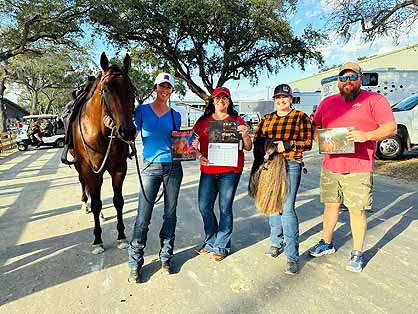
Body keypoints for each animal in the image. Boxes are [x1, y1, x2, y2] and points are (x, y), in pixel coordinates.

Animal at [70, 52, 136, 254]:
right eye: (105, 90)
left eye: (131, 89)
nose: (127, 131)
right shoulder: (90, 169)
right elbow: (97, 202)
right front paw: (97, 240)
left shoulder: (119, 168)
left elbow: (118, 201)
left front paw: (121, 236)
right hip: (80, 166)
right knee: (85, 186)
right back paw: (85, 204)